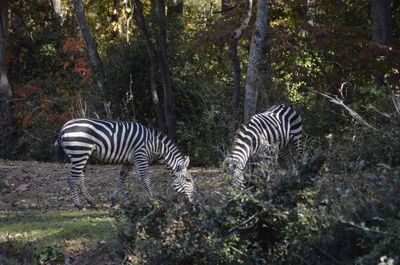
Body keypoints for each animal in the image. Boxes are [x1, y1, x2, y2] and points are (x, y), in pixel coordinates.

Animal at [53, 117, 195, 208]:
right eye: (188, 180)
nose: (192, 203)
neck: (154, 145)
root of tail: (63, 128)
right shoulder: (140, 157)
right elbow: (145, 179)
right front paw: (153, 200)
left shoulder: (128, 162)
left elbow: (120, 180)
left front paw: (113, 200)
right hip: (80, 152)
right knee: (71, 178)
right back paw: (79, 205)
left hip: (83, 155)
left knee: (80, 177)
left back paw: (92, 202)